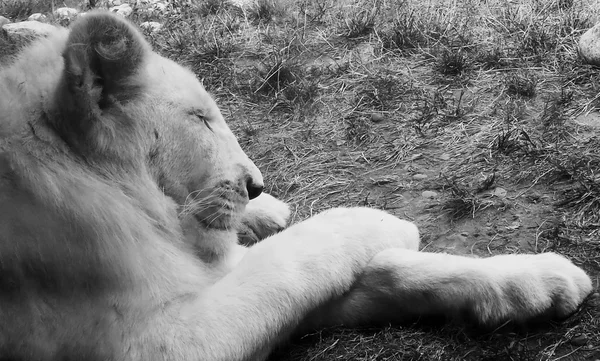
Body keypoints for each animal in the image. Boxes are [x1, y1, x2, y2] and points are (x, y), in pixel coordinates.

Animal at [0, 9, 592, 358]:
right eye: (200, 119)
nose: (256, 185)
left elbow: (381, 274)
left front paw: (537, 281)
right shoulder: (151, 341)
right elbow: (296, 256)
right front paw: (376, 220)